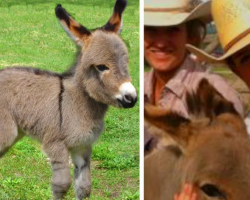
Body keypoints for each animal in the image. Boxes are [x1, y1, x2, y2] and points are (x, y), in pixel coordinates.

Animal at [0, 0, 137, 199]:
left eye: (126, 63)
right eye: (101, 67)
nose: (131, 98)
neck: (76, 102)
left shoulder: (83, 146)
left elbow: (84, 187)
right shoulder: (55, 144)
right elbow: (62, 185)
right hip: (6, 131)